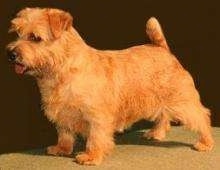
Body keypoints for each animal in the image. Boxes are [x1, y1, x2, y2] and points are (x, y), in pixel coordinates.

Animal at [6, 7, 213, 165]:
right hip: (158, 100)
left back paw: (206, 142)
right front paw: (62, 149)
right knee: (163, 116)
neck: (60, 71)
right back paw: (156, 133)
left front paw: (91, 157)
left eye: (35, 37)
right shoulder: (63, 112)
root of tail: (162, 49)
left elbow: (96, 137)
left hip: (182, 100)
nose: (11, 54)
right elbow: (64, 132)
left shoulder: (97, 116)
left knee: (201, 116)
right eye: (17, 33)